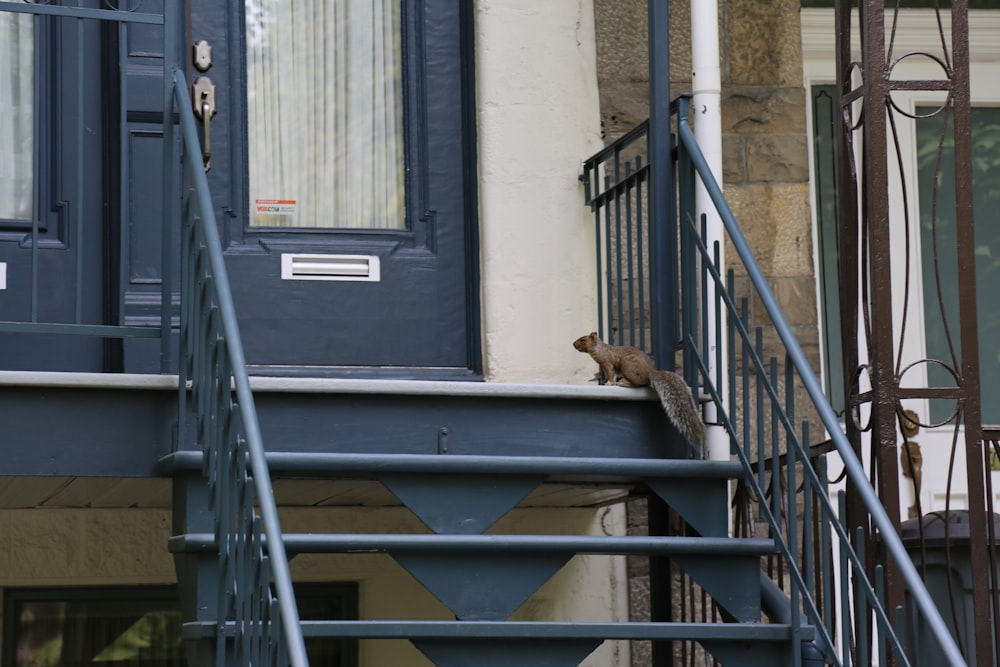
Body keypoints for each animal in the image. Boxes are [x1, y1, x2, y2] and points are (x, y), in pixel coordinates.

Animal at [576, 332, 708, 456]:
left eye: (583, 339)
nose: (573, 344)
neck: (598, 348)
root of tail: (649, 372)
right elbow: (612, 375)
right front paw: (609, 383)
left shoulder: (606, 362)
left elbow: (610, 374)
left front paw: (609, 383)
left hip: (628, 365)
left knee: (637, 384)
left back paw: (624, 383)